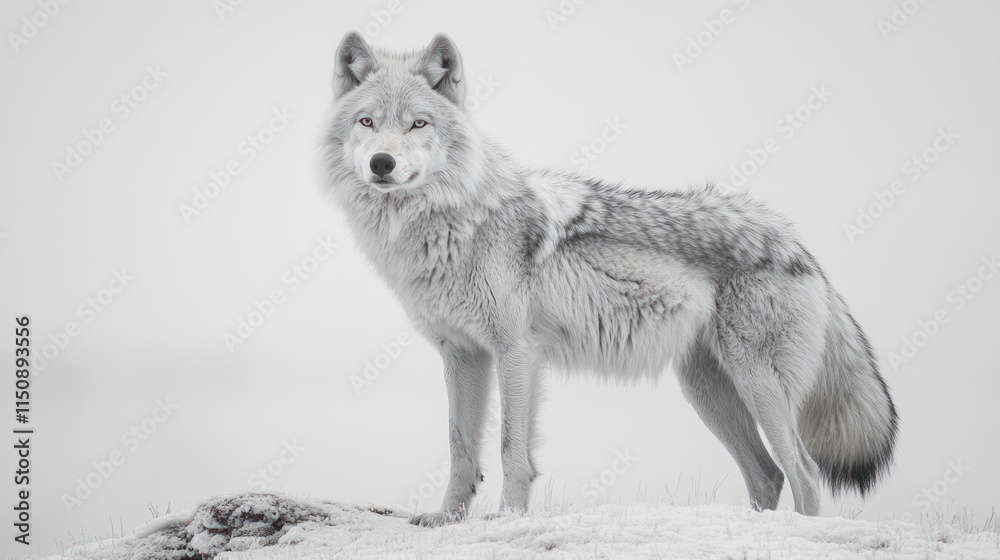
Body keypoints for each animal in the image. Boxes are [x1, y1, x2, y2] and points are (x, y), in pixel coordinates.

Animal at [320, 31, 898, 526]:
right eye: (367, 122)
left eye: (418, 124)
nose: (382, 163)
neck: (453, 221)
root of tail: (795, 242)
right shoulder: (461, 354)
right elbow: (461, 447)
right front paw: (446, 519)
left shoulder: (516, 351)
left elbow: (510, 449)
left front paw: (508, 518)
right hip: (708, 391)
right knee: (768, 474)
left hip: (758, 385)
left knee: (804, 471)